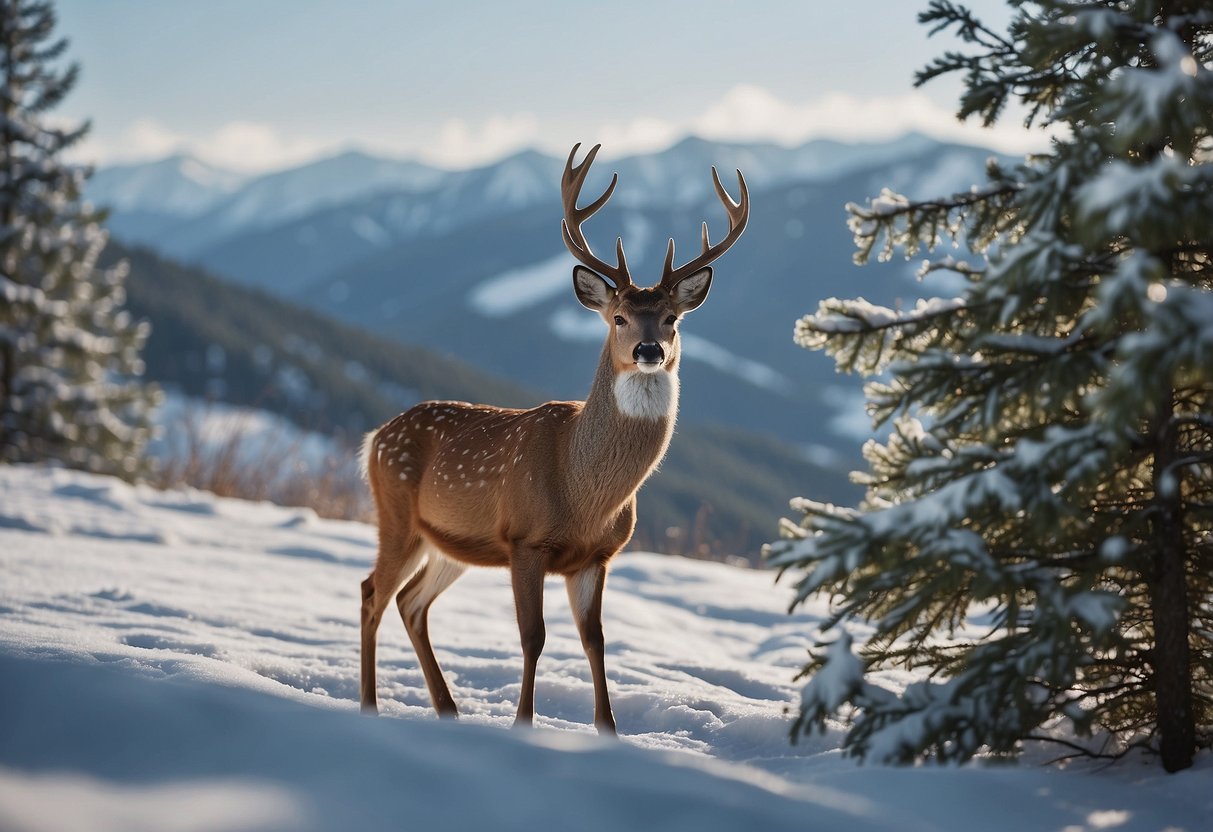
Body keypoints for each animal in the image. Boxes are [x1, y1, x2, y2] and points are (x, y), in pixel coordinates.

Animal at [354, 143, 742, 737]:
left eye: (673, 319)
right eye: (619, 317)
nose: (650, 350)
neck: (584, 492)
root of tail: (375, 437)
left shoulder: (597, 556)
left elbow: (595, 640)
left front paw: (609, 730)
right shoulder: (525, 539)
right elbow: (533, 637)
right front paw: (523, 724)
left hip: (450, 541)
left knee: (411, 602)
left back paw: (448, 708)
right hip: (395, 512)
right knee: (373, 592)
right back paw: (370, 706)